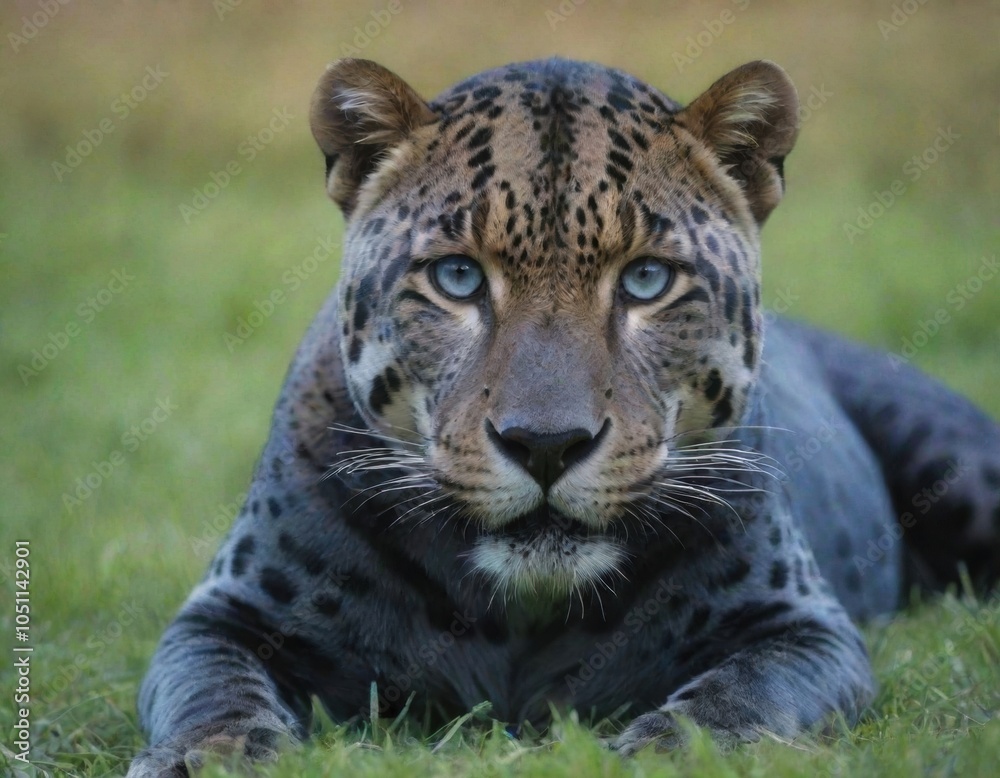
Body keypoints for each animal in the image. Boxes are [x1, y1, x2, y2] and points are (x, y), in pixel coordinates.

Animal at [127, 56, 1000, 776]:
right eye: (456, 277)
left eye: (647, 280)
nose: (546, 445)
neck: (517, 622)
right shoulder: (228, 613)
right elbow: (216, 691)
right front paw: (211, 758)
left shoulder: (801, 626)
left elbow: (741, 696)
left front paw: (665, 752)